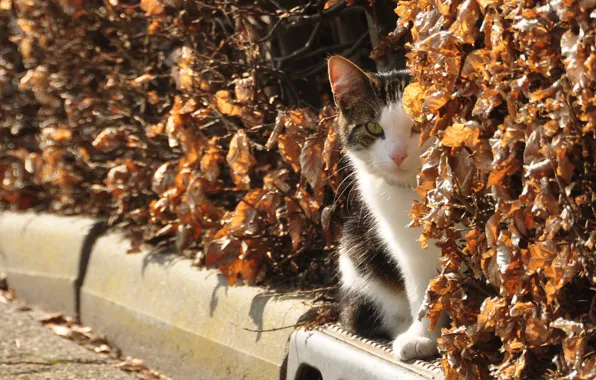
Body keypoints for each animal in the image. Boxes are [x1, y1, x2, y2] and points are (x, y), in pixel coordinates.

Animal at [326, 55, 442, 360]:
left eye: (420, 125)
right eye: (373, 128)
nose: (397, 155)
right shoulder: (408, 247)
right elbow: (424, 288)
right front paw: (421, 337)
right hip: (355, 248)